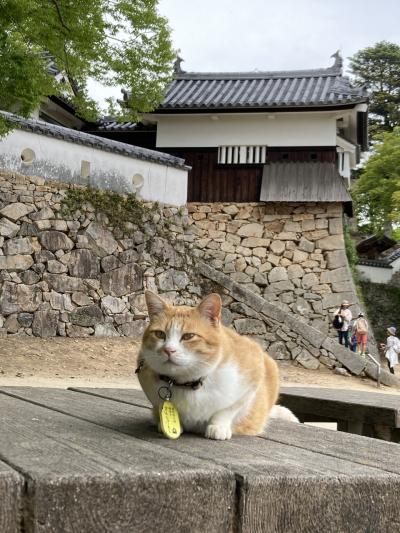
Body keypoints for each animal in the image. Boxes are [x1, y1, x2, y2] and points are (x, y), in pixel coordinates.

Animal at [138, 288, 296, 438]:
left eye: (189, 336)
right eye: (160, 334)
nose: (168, 350)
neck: (189, 384)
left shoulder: (253, 375)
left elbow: (227, 410)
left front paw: (218, 427)